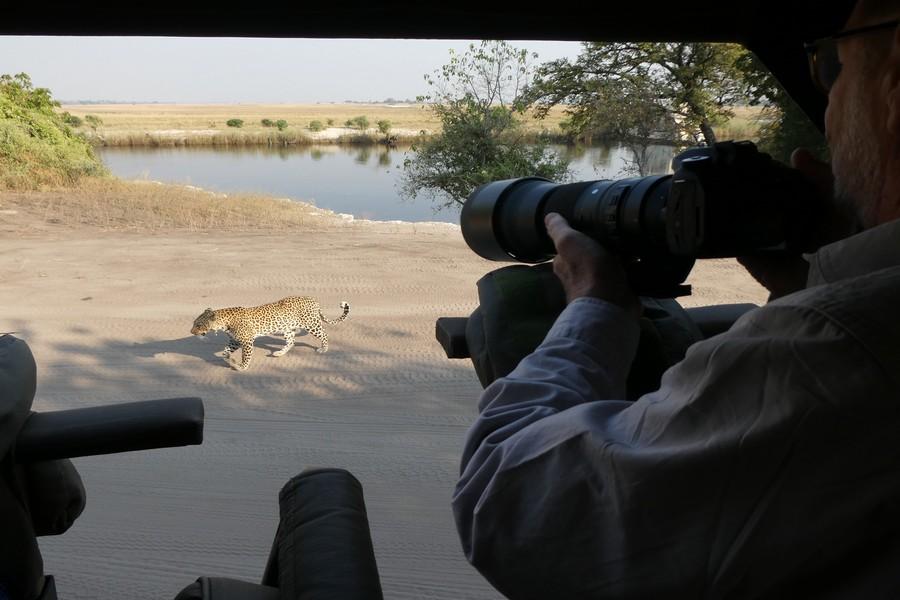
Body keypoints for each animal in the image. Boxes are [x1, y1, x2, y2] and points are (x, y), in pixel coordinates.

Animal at [192, 296, 350, 370]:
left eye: (198, 324)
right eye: (194, 323)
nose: (191, 331)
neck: (223, 323)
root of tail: (314, 300)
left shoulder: (247, 341)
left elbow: (246, 356)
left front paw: (242, 367)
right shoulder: (235, 340)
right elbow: (226, 350)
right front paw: (228, 359)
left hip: (311, 324)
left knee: (324, 334)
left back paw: (323, 349)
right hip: (287, 328)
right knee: (291, 341)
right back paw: (279, 353)